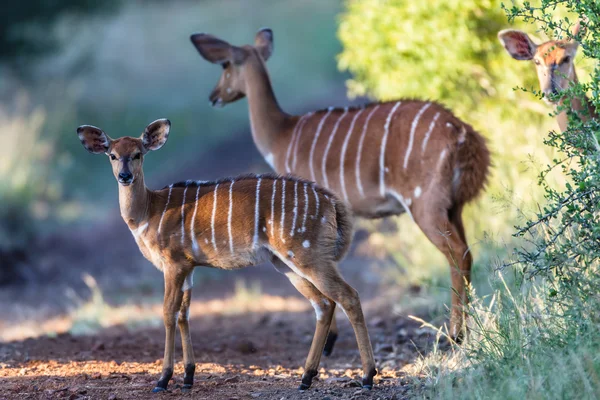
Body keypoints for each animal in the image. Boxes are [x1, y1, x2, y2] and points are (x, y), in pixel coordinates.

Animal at [75, 119, 376, 394]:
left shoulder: (173, 263)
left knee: (348, 296)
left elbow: (168, 312)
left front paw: (163, 380)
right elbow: (184, 313)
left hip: (306, 254)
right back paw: (306, 378)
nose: (125, 176)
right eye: (112, 155)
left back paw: (367, 376)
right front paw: (188, 377)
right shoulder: (189, 267)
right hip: (286, 263)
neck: (149, 211)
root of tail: (331, 202)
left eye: (138, 154)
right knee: (323, 304)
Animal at [190, 28, 490, 346]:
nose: (213, 97)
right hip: (453, 207)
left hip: (424, 205)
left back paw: (455, 333)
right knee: (467, 253)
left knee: (457, 253)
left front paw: (331, 339)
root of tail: (463, 134)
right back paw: (468, 331)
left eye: (225, 65)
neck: (283, 134)